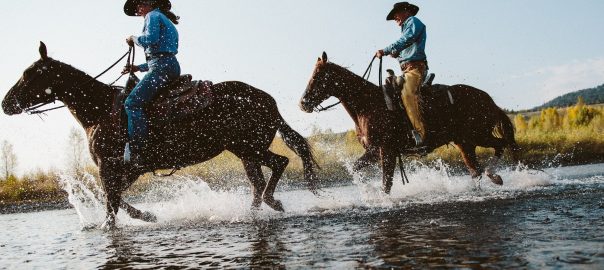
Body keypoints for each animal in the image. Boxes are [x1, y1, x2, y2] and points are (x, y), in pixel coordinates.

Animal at [3, 42, 320, 228]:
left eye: (29, 74)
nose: (6, 103)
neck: (101, 110)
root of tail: (268, 100)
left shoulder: (111, 165)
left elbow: (111, 201)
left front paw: (111, 227)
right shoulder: (128, 168)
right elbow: (116, 197)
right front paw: (147, 215)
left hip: (248, 147)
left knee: (278, 165)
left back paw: (269, 204)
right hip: (245, 151)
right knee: (260, 179)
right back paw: (254, 211)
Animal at [300, 51, 516, 193]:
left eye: (317, 76)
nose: (303, 103)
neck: (368, 104)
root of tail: (489, 100)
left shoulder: (385, 150)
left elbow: (386, 182)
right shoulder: (373, 151)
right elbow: (356, 169)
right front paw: (368, 190)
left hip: (478, 135)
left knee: (501, 145)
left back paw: (494, 176)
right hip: (465, 143)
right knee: (475, 170)